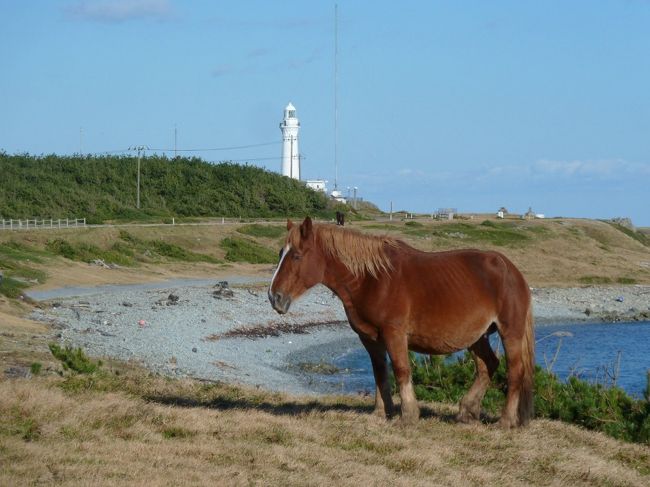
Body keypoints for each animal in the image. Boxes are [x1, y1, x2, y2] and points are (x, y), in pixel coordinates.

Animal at [266, 217, 536, 428]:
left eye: (297, 256)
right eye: (280, 254)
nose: (274, 297)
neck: (372, 280)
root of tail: (512, 270)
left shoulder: (394, 333)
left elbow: (401, 370)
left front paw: (408, 415)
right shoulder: (369, 337)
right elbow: (380, 371)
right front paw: (380, 412)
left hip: (509, 332)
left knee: (514, 371)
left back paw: (505, 421)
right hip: (477, 335)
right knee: (487, 366)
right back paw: (466, 412)